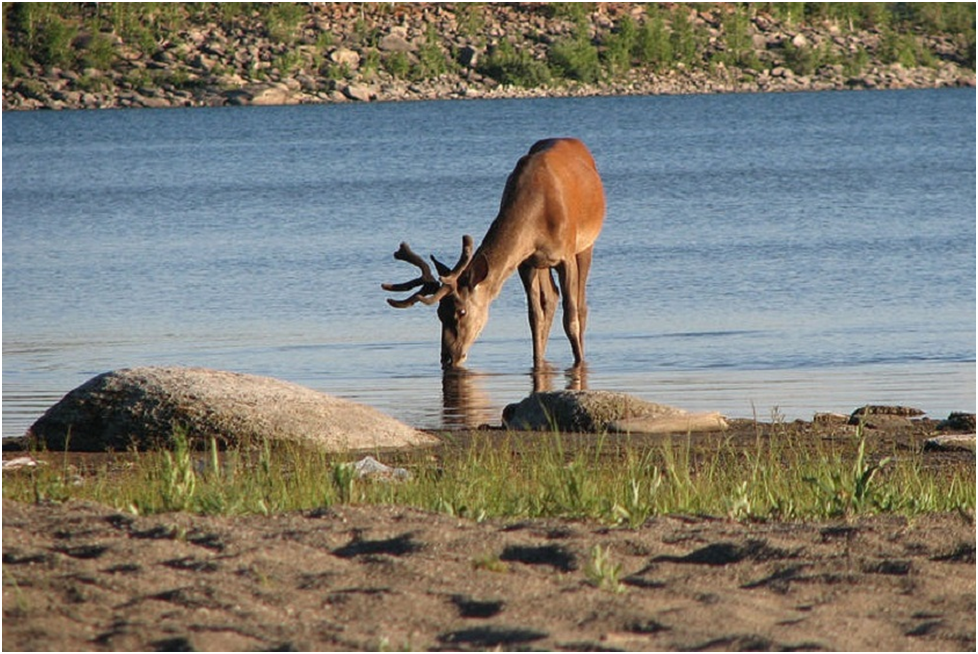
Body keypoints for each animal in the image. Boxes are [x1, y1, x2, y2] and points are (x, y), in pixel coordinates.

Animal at [380, 137, 604, 374]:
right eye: (439, 313)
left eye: (461, 312)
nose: (447, 358)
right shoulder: (524, 262)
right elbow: (534, 318)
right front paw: (536, 361)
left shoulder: (566, 255)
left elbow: (570, 317)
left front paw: (578, 362)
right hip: (541, 263)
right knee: (551, 299)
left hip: (586, 245)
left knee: (581, 306)